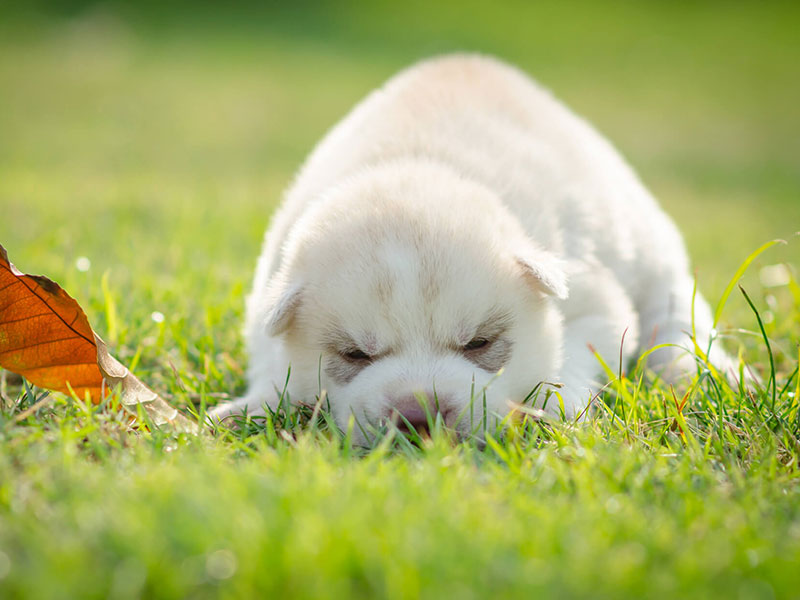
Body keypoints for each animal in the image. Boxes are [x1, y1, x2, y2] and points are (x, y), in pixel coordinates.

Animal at [211, 55, 732, 440]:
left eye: (478, 343)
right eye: (355, 354)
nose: (418, 413)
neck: (418, 167)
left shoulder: (593, 299)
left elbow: (572, 351)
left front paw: (556, 405)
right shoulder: (266, 305)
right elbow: (270, 364)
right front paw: (252, 407)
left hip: (658, 261)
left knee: (678, 325)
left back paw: (707, 374)